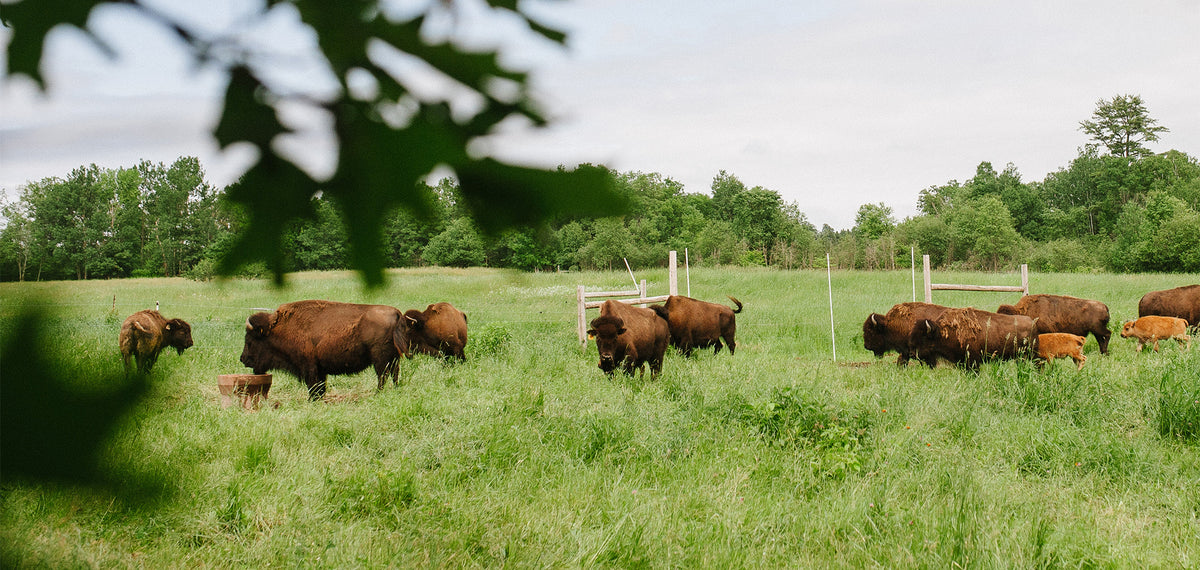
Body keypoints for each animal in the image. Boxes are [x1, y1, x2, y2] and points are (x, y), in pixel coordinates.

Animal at [240, 300, 410, 400]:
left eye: (250, 340)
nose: (243, 359)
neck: (278, 329)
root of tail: (397, 313)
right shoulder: (320, 369)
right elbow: (320, 387)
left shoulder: (309, 367)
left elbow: (313, 386)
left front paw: (312, 400)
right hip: (393, 359)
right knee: (394, 374)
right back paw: (394, 390)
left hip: (380, 359)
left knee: (383, 376)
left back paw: (377, 394)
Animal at [908, 307, 1038, 370]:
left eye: (923, 338)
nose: (912, 353)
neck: (941, 333)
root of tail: (1032, 322)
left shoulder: (973, 361)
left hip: (1031, 355)